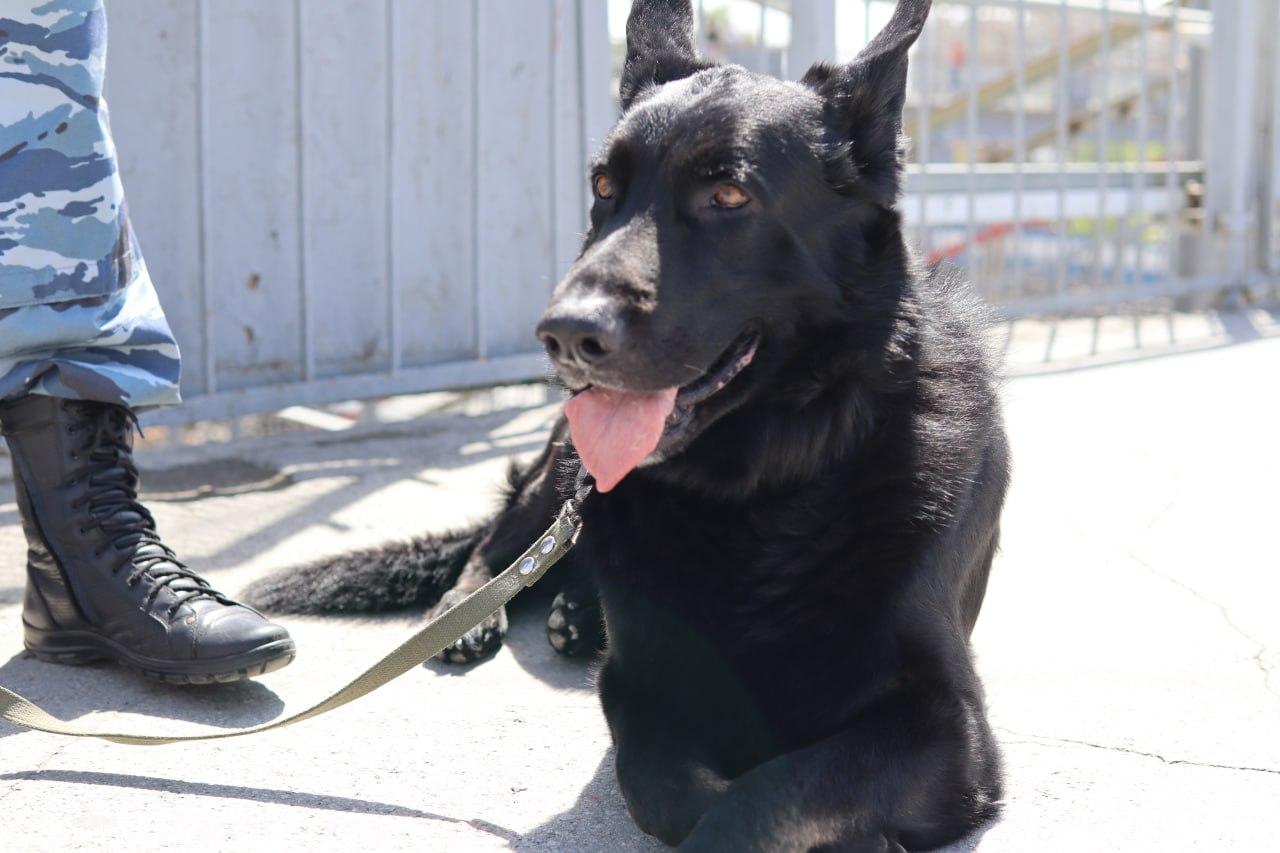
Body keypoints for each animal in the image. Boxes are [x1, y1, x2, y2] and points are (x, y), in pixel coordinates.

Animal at [249, 1, 1008, 845]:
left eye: (729, 197)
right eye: (604, 187)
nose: (563, 335)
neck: (764, 490)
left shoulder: (948, 726)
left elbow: (777, 789)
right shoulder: (639, 689)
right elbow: (673, 789)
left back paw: (578, 612)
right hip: (561, 472)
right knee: (499, 542)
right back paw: (479, 610)